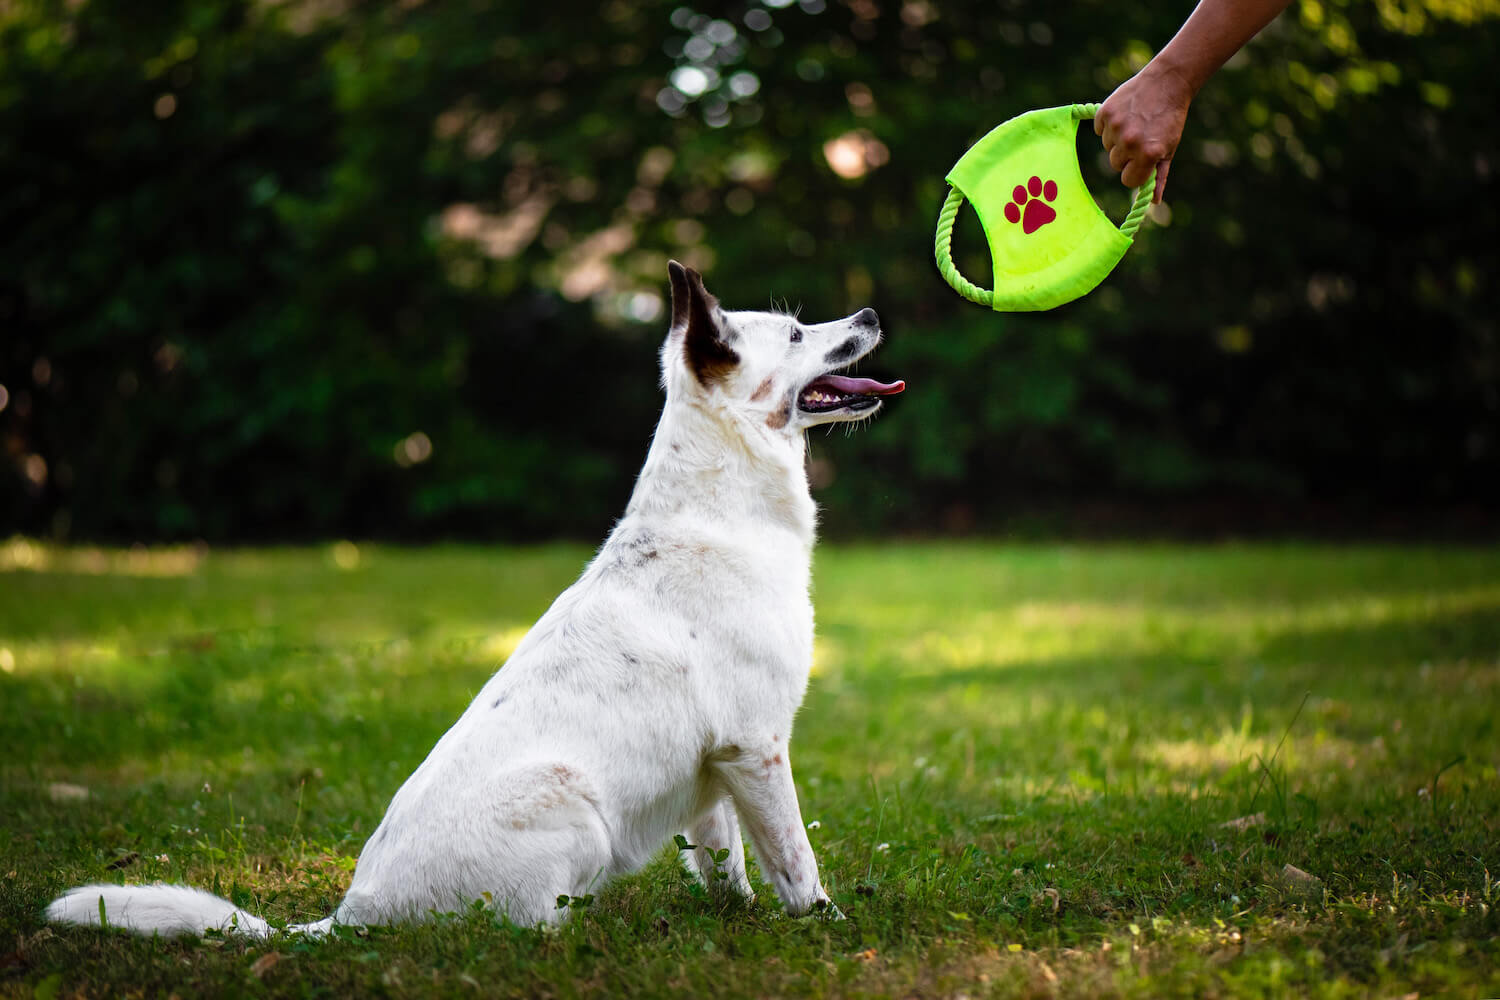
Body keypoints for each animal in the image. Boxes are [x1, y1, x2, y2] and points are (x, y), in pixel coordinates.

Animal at [46, 260, 900, 941]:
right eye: (796, 333)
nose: (868, 314)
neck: (716, 511)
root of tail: (352, 917)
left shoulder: (714, 767)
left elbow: (725, 862)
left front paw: (739, 917)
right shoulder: (756, 748)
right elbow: (794, 859)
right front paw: (824, 924)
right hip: (570, 801)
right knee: (526, 928)